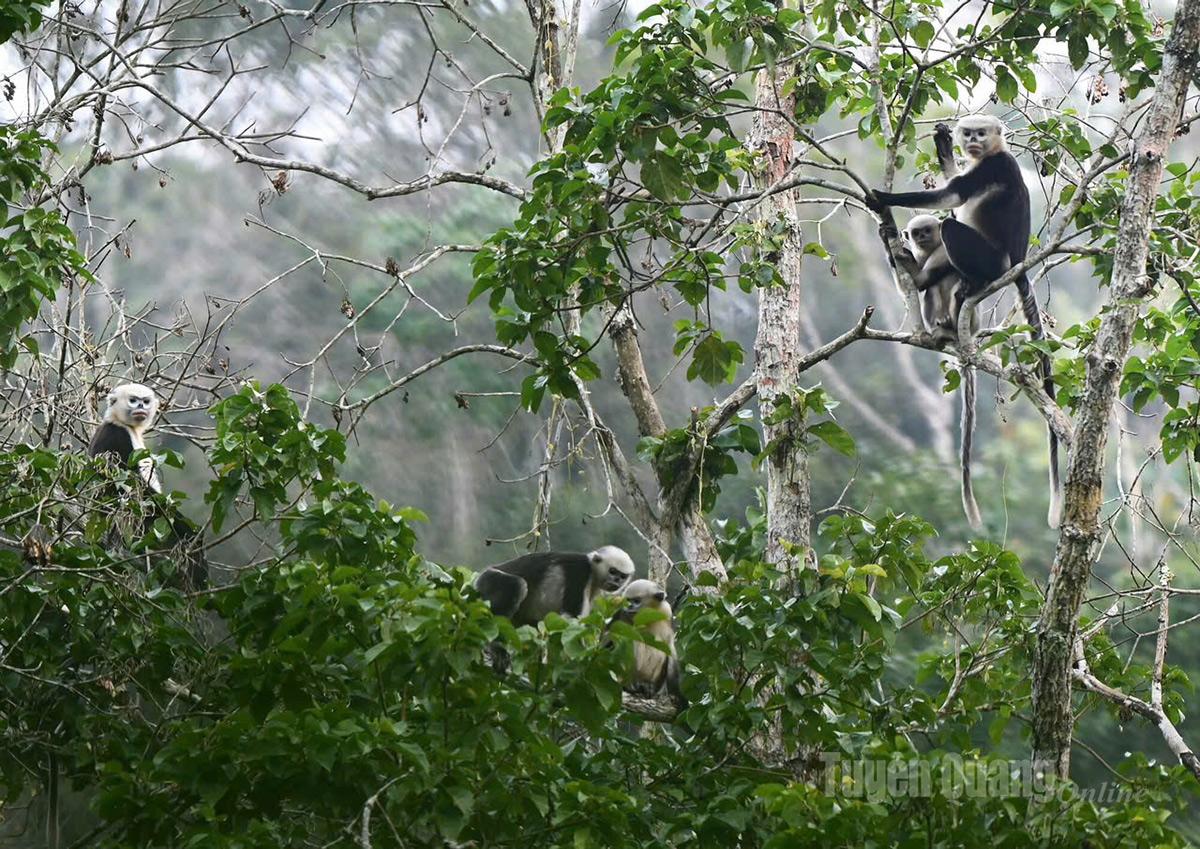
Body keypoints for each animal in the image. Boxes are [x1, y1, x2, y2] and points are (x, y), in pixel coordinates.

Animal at [475, 546, 635, 627]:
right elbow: (570, 618)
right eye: (612, 571)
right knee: (517, 585)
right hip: (488, 580)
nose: (617, 581)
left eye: (622, 576)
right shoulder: (580, 571)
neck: (592, 571)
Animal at [607, 579, 685, 707]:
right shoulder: (619, 612)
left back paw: (649, 688)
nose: (629, 607)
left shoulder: (667, 611)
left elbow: (669, 646)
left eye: (636, 601)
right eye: (628, 601)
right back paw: (632, 686)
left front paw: (679, 697)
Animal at [868, 115, 1062, 527]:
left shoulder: (991, 168)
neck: (993, 154)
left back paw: (970, 284)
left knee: (951, 227)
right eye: (968, 134)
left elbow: (953, 197)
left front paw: (879, 197)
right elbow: (953, 189)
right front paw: (944, 148)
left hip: (989, 260)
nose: (971, 140)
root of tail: (1016, 264)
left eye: (981, 134)